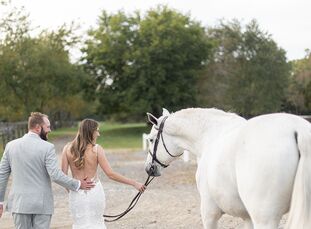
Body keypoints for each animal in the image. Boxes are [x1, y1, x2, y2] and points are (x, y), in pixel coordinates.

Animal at [145, 108, 311, 229]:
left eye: (151, 140)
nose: (149, 168)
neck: (210, 136)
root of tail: (297, 130)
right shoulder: (247, 217)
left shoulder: (209, 212)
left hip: (265, 219)